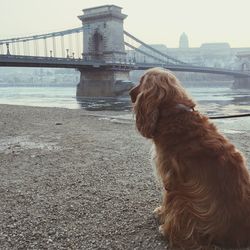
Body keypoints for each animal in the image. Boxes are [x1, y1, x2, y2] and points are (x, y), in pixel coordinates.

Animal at [129, 67, 250, 249]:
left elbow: (167, 200)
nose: (129, 92)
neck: (174, 112)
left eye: (141, 81)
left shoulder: (171, 176)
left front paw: (162, 216)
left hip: (185, 198)